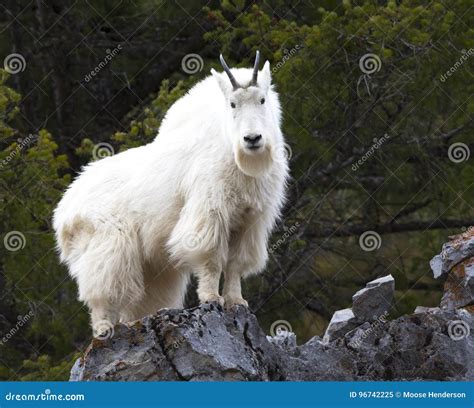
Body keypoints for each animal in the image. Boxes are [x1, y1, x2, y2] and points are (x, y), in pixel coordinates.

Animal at [52, 52, 288, 336]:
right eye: (232, 104)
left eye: (262, 99)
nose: (252, 139)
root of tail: (64, 210)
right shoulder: (210, 211)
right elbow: (211, 257)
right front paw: (211, 298)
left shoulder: (250, 219)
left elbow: (236, 263)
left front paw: (236, 301)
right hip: (107, 242)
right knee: (103, 287)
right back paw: (104, 328)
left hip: (148, 263)